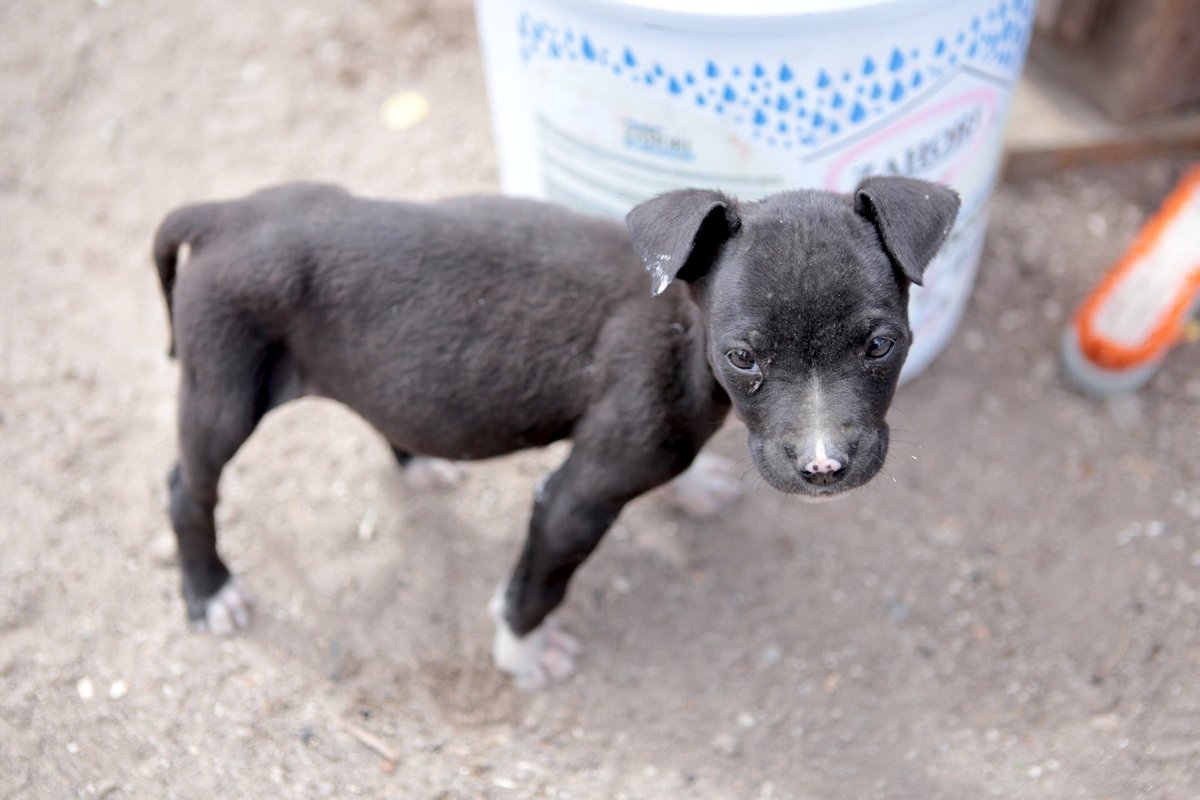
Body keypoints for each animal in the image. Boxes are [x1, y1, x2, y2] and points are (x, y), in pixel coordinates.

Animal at [154, 178, 955, 686]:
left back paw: (419, 463)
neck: (683, 326)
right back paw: (210, 590)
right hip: (222, 392)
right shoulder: (576, 498)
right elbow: (538, 583)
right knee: (186, 487)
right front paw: (521, 653)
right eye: (743, 357)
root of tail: (222, 215)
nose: (824, 468)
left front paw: (696, 483)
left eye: (880, 345)